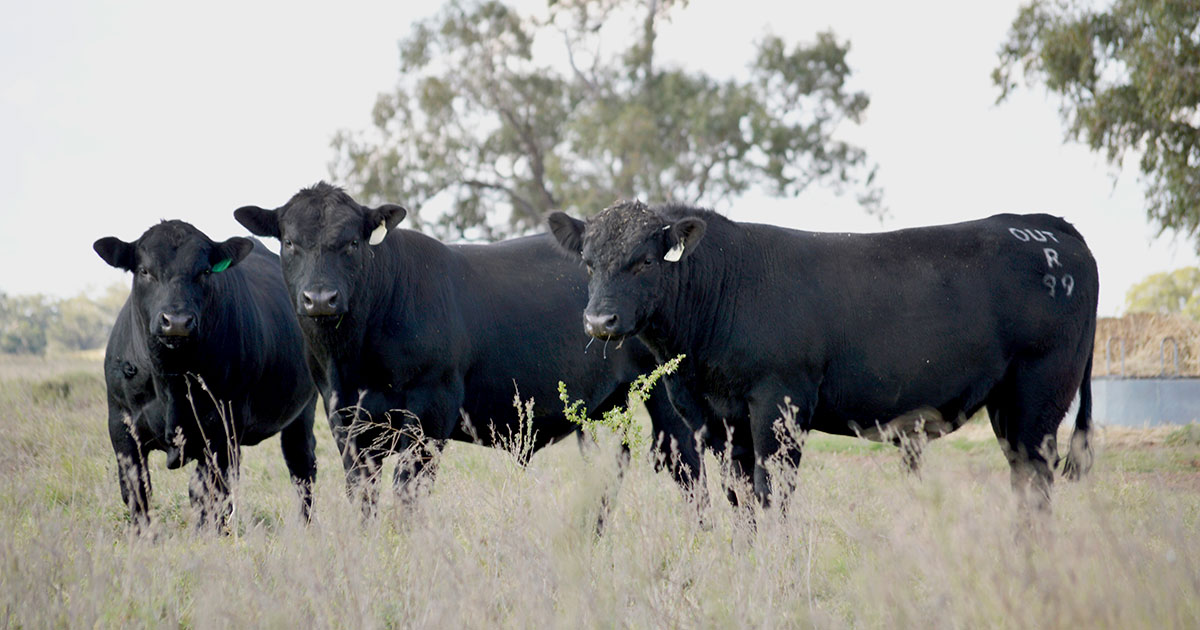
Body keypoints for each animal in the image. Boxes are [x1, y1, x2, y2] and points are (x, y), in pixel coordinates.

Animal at [95, 221, 319, 529]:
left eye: (205, 271)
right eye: (144, 270)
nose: (177, 321)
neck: (172, 378)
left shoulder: (220, 430)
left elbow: (207, 495)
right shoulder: (122, 428)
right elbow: (137, 493)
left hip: (303, 412)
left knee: (301, 466)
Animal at [233, 183, 702, 517]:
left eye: (352, 243)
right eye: (289, 243)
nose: (320, 298)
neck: (351, 359)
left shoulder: (430, 414)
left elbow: (408, 498)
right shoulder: (345, 423)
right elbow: (363, 498)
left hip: (664, 397)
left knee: (686, 465)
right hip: (604, 407)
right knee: (607, 473)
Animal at [548, 201, 1098, 512]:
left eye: (644, 261)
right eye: (589, 262)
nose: (599, 322)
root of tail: (1040, 226)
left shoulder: (780, 403)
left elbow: (771, 493)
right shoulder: (714, 418)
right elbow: (739, 497)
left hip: (1039, 393)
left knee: (1035, 481)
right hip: (1007, 402)